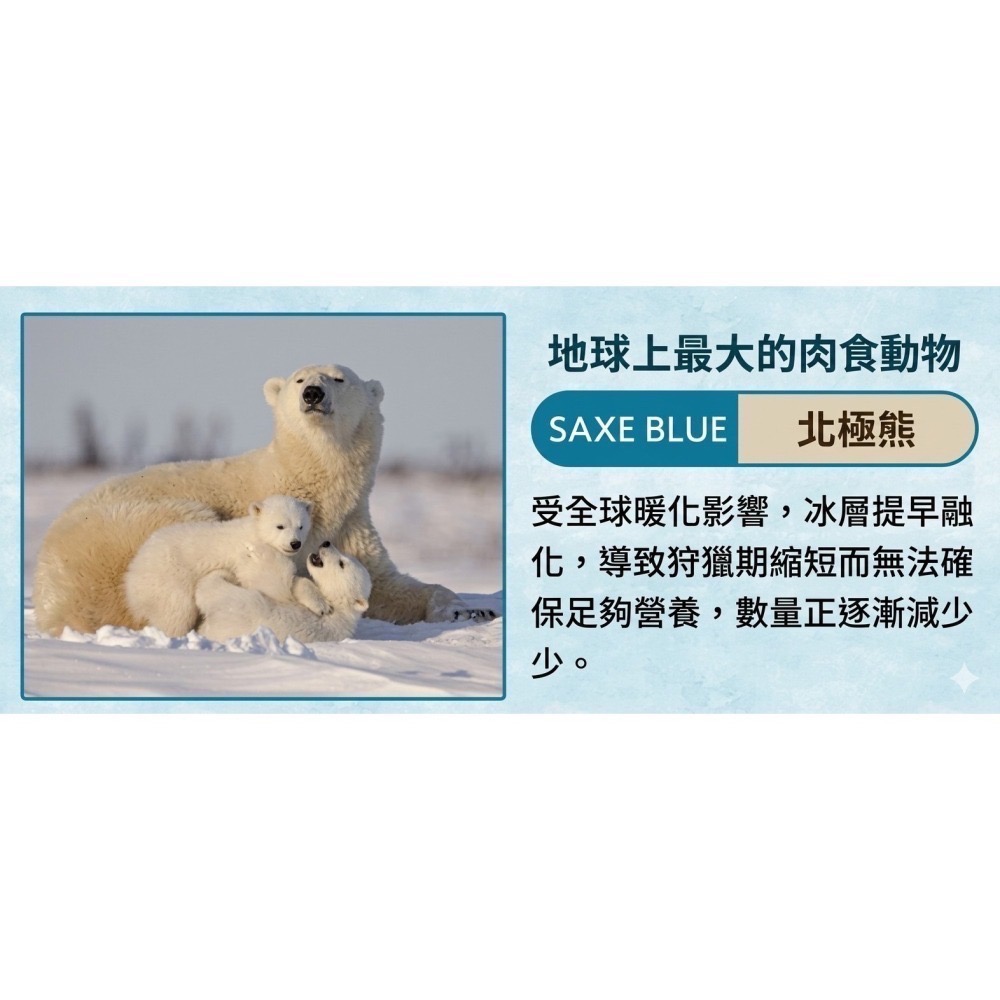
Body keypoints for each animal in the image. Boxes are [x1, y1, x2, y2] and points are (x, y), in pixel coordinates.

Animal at [123, 494, 326, 637]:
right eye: (280, 526)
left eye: (300, 526)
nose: (295, 543)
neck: (255, 534)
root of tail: (133, 572)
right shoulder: (247, 556)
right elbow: (267, 583)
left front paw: (320, 605)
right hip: (168, 579)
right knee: (176, 613)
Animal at [194, 539, 373, 644]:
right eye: (345, 554)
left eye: (342, 563)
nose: (326, 543)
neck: (340, 607)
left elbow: (274, 580)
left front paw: (255, 549)